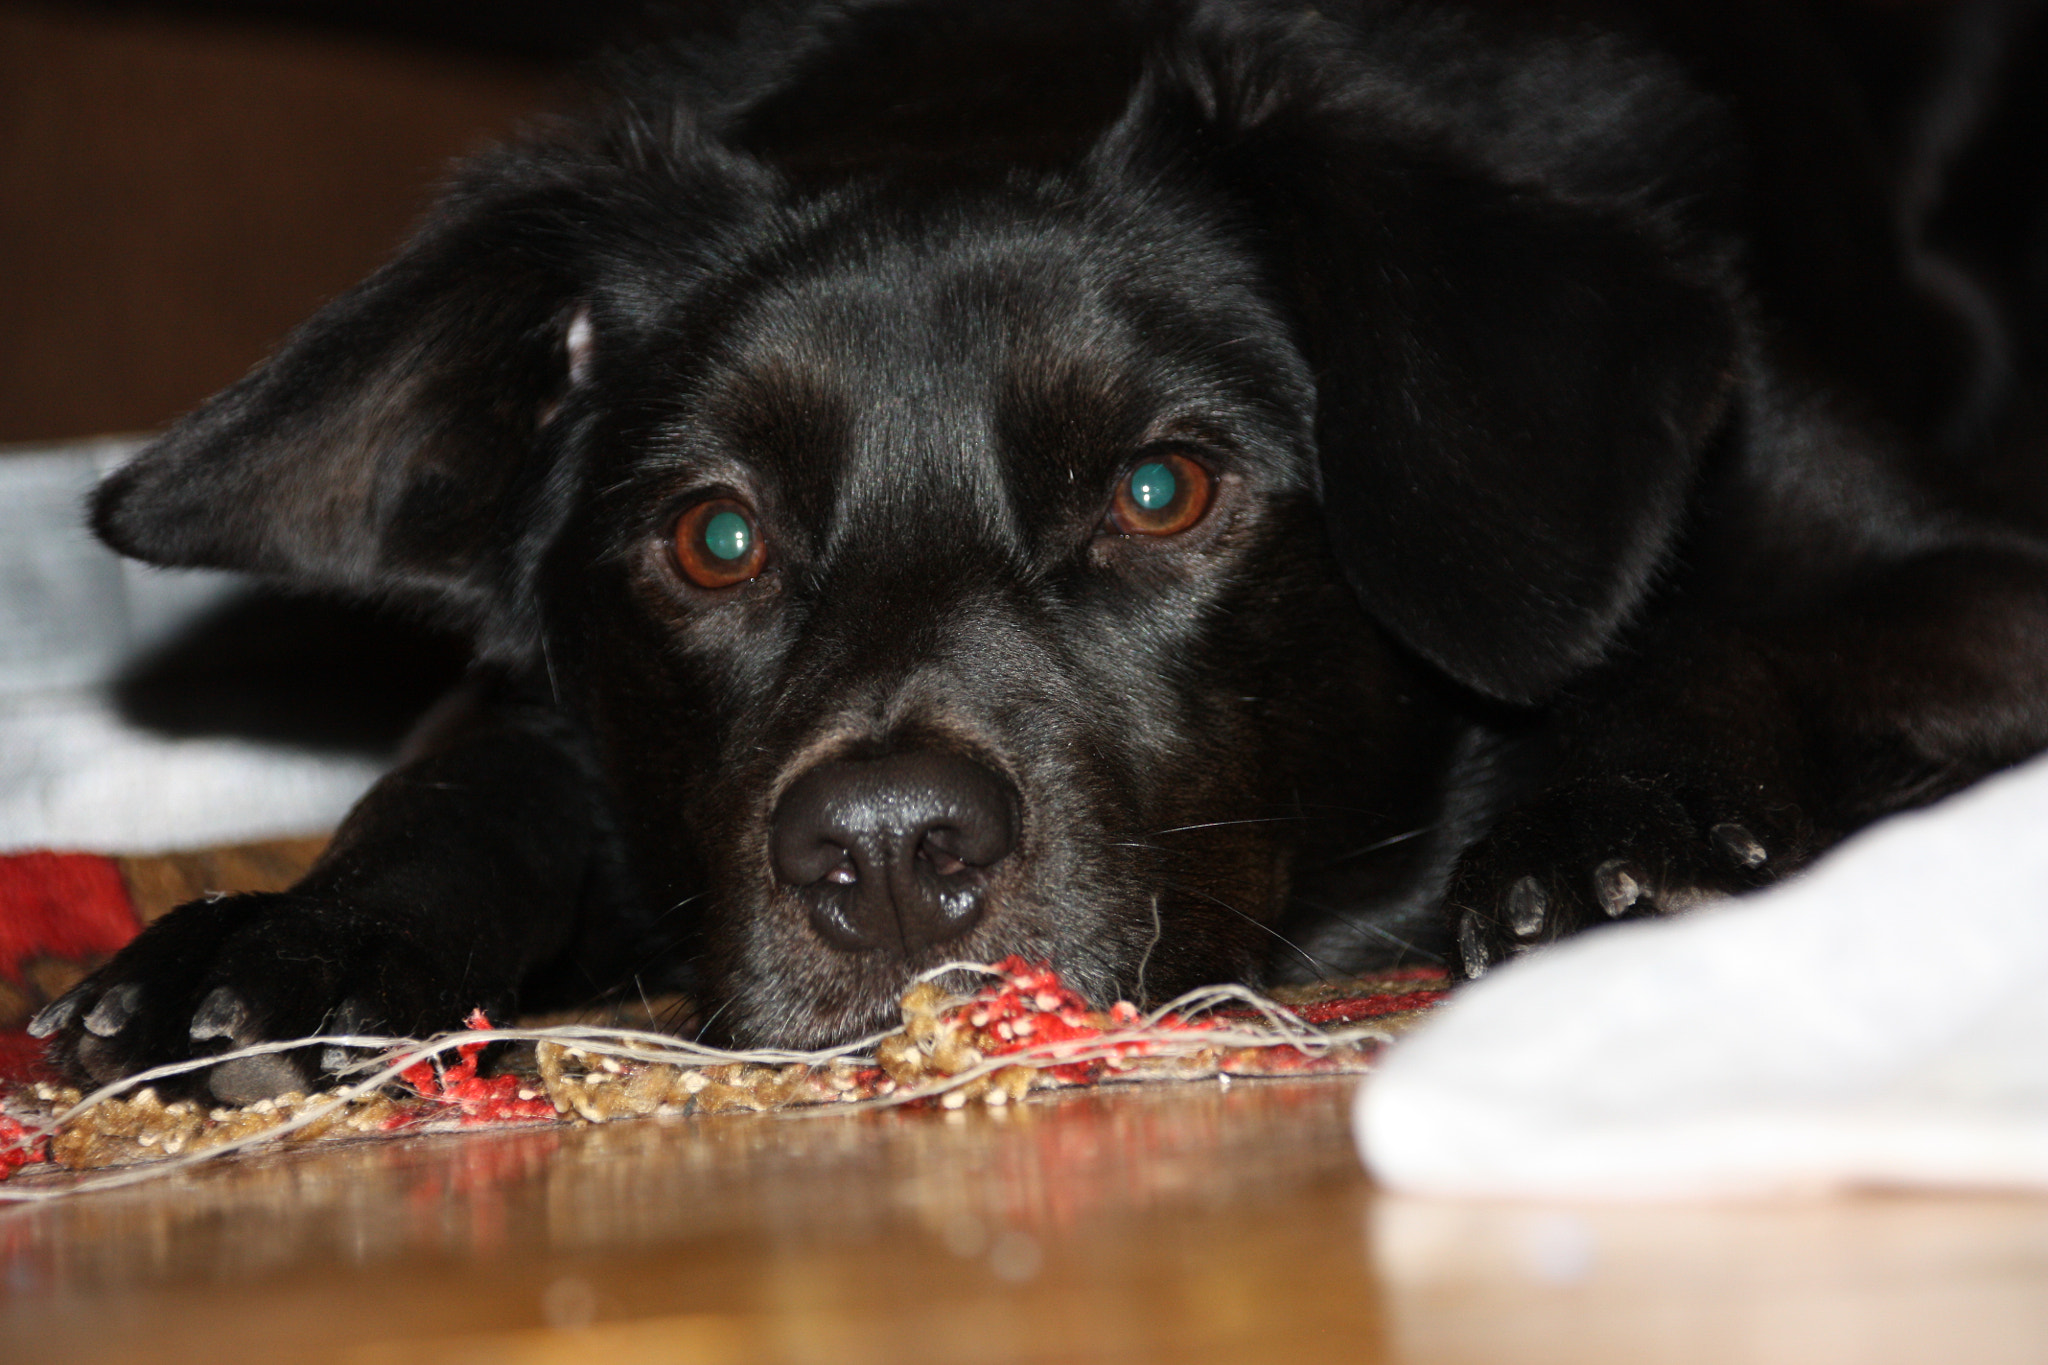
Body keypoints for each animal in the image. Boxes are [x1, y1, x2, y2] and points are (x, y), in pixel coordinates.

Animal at [32, 0, 2048, 1105]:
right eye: (714, 536)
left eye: (1161, 492)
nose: (888, 860)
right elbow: (468, 777)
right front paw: (294, 940)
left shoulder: (1967, 566)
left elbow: (1722, 634)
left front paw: (1616, 816)